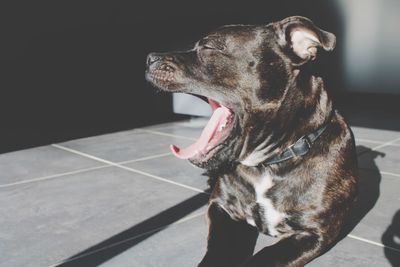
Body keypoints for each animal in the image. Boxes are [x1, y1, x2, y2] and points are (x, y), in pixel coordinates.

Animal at [145, 15, 358, 266]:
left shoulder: (314, 232)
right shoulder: (223, 209)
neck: (266, 163)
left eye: (209, 47)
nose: (150, 57)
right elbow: (220, 248)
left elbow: (266, 256)